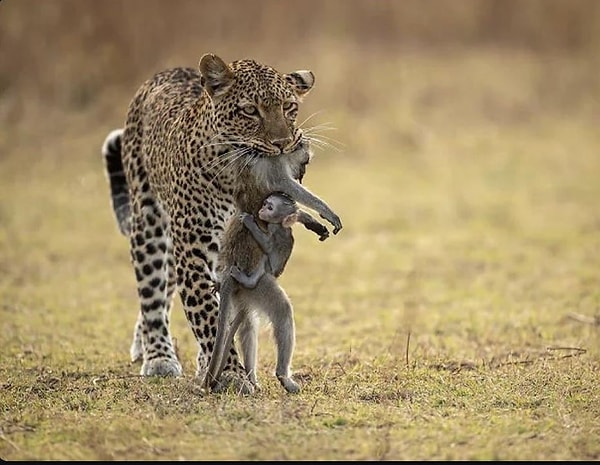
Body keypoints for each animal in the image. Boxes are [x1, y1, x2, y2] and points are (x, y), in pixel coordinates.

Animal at [206, 191, 328, 392]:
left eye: (270, 207)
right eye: (265, 204)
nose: (262, 210)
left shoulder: (276, 230)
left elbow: (270, 243)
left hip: (254, 287)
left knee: (257, 319)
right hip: (257, 285)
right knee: (271, 314)